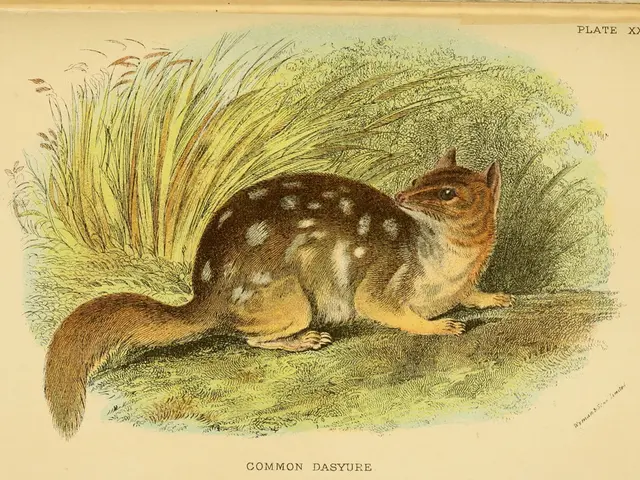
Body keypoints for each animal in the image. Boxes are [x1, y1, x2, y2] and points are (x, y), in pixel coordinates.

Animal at [44, 147, 513, 438]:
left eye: (448, 192)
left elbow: (470, 295)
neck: (450, 258)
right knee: (252, 338)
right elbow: (385, 308)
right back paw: (304, 340)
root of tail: (205, 298)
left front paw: (493, 298)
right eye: (418, 178)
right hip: (291, 301)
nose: (400, 194)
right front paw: (440, 327)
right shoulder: (385, 277)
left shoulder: (460, 282)